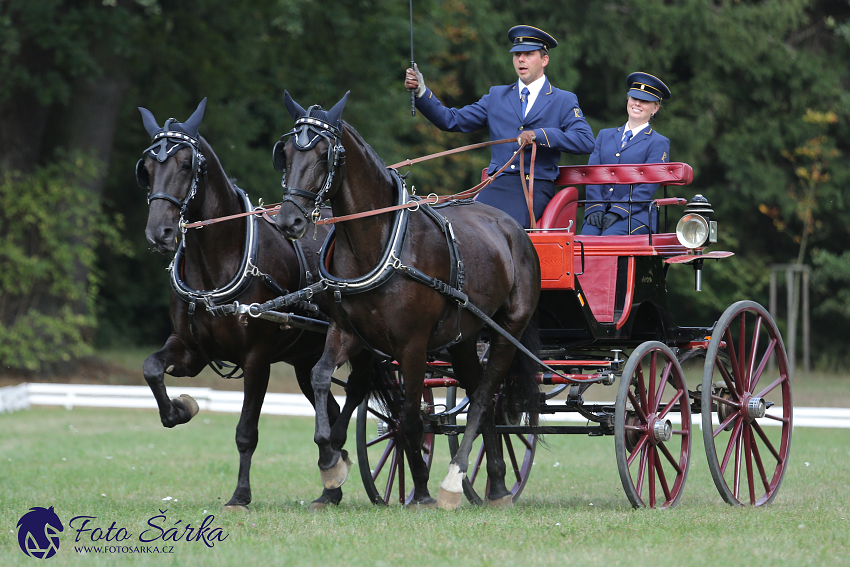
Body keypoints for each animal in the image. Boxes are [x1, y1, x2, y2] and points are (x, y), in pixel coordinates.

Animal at [137, 100, 376, 512]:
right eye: (148, 167)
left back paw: (338, 455)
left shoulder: (256, 359)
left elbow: (246, 431)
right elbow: (152, 368)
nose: (160, 233)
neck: (219, 260)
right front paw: (182, 408)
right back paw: (331, 484)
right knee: (327, 401)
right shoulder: (191, 349)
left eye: (185, 164)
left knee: (359, 391)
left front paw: (240, 495)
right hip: (304, 359)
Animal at [274, 93, 536, 510]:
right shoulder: (346, 331)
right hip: (463, 339)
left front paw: (423, 491)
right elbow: (320, 377)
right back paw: (495, 486)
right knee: (480, 396)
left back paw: (453, 482)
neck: (381, 244)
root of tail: (513, 228)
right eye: (284, 153)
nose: (289, 222)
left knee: (484, 396)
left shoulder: (412, 345)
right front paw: (330, 462)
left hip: (507, 329)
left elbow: (412, 417)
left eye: (324, 155)